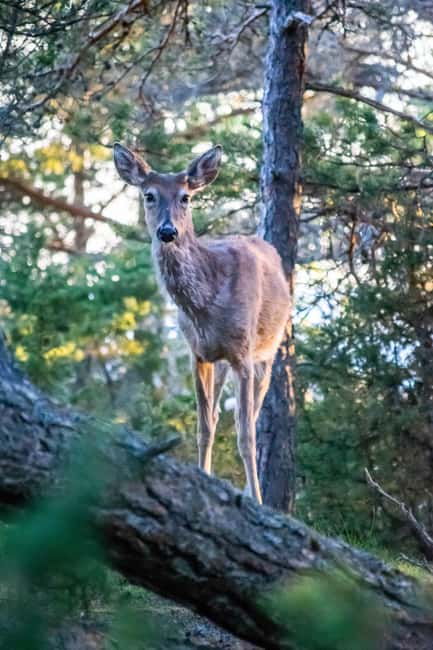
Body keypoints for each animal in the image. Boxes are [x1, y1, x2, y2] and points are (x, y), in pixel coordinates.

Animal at [113, 142, 290, 503]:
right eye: (149, 195)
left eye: (186, 197)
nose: (168, 231)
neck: (205, 305)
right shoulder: (198, 354)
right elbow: (204, 427)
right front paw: (203, 480)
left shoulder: (243, 354)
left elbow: (246, 434)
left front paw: (257, 500)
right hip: (222, 361)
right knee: (220, 413)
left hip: (268, 350)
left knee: (253, 412)